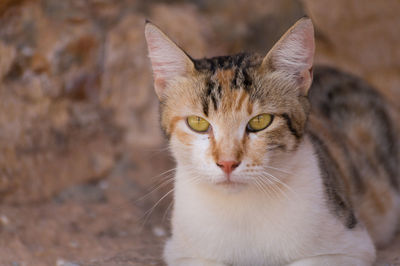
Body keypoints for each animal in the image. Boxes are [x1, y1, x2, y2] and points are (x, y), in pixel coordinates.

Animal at [144, 17, 400, 264]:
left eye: (260, 121)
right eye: (197, 122)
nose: (227, 163)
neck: (241, 209)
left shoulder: (351, 245)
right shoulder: (182, 252)